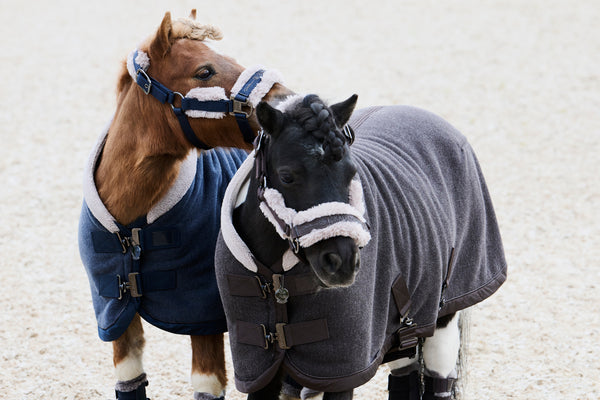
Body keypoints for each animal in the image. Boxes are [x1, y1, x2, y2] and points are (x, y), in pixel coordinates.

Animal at [82, 9, 292, 400]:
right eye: (204, 71)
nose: (288, 101)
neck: (133, 221)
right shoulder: (116, 312)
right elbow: (129, 379)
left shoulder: (203, 314)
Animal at [216, 94, 506, 400]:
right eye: (286, 176)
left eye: (351, 173)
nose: (342, 262)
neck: (275, 280)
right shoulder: (263, 370)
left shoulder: (342, 372)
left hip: (443, 316)